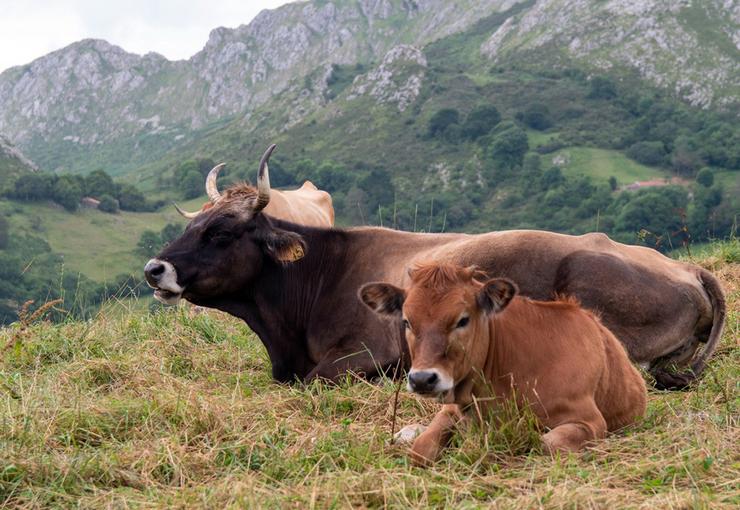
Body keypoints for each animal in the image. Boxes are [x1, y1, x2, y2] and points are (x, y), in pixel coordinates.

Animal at [362, 262, 644, 466]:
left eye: (462, 320)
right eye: (407, 321)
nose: (422, 379)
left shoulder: (590, 421)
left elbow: (544, 444)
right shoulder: (452, 407)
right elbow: (421, 450)